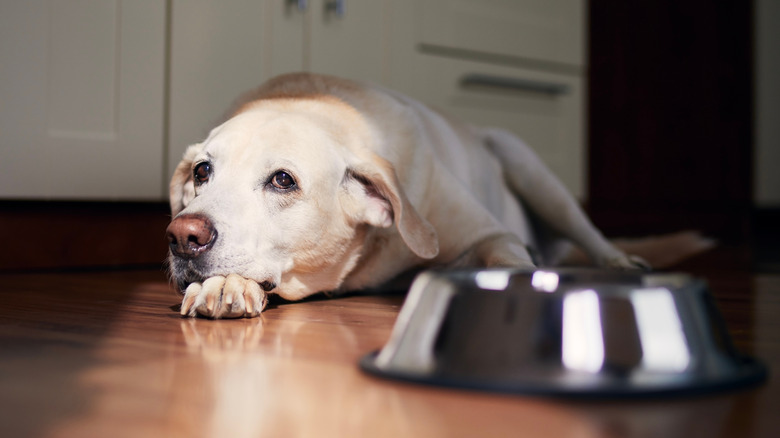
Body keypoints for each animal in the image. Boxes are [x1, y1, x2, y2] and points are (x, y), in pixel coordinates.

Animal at [166, 72, 708, 318]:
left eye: (283, 180)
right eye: (203, 171)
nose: (183, 235)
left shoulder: (490, 233)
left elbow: (507, 257)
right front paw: (224, 286)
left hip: (528, 166)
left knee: (589, 232)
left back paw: (619, 260)